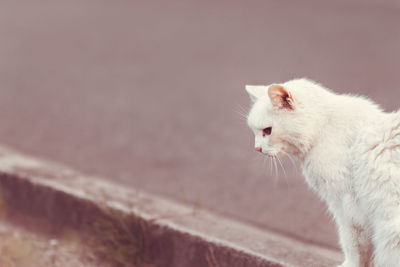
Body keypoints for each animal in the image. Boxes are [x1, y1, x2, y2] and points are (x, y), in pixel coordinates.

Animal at [245, 78, 400, 267]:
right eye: (254, 131)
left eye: (267, 130)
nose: (257, 148)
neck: (322, 127)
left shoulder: (348, 208)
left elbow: (353, 246)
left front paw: (350, 265)